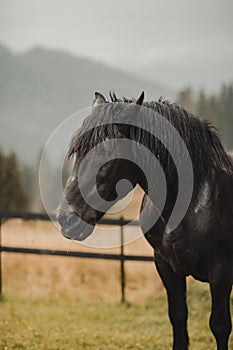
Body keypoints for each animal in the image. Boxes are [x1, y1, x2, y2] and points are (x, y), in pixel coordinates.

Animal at [57, 91, 233, 348]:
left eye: (105, 153)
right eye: (78, 151)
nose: (65, 218)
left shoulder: (221, 271)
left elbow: (220, 326)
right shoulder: (166, 266)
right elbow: (178, 317)